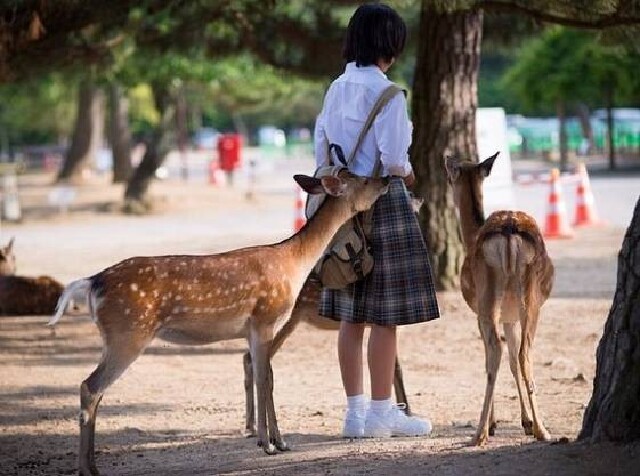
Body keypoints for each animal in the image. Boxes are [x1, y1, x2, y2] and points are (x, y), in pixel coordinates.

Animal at [49, 172, 390, 476]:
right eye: (363, 178)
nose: (386, 179)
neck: (294, 262)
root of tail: (91, 283)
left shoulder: (256, 329)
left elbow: (266, 377)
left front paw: (279, 441)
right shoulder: (265, 318)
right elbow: (264, 378)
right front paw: (267, 444)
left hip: (116, 337)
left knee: (96, 390)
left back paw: (93, 465)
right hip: (128, 333)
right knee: (90, 387)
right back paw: (86, 468)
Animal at [445, 152, 554, 446]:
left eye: (451, 174)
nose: (447, 160)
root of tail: (508, 231)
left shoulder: (481, 314)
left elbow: (496, 358)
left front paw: (498, 423)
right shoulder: (510, 316)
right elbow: (514, 361)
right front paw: (526, 422)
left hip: (487, 299)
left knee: (498, 351)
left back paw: (481, 432)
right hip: (528, 299)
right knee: (522, 352)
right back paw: (541, 429)